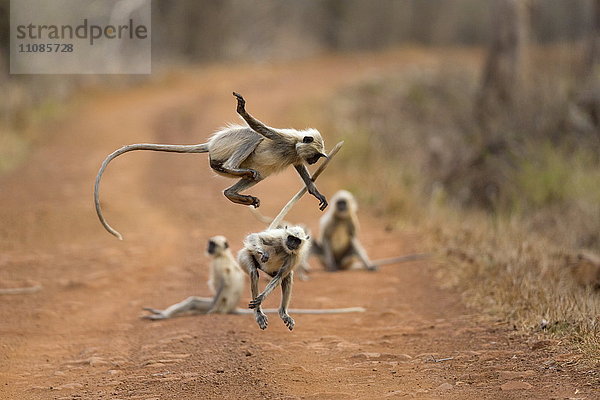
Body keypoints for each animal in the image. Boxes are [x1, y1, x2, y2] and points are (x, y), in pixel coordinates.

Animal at [94, 92, 328, 239]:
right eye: (316, 156)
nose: (316, 160)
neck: (293, 147)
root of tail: (211, 144)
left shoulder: (296, 156)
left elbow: (304, 175)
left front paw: (316, 193)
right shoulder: (283, 138)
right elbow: (260, 128)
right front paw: (242, 110)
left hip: (222, 163)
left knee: (255, 175)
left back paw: (232, 194)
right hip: (227, 147)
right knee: (252, 136)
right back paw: (234, 169)